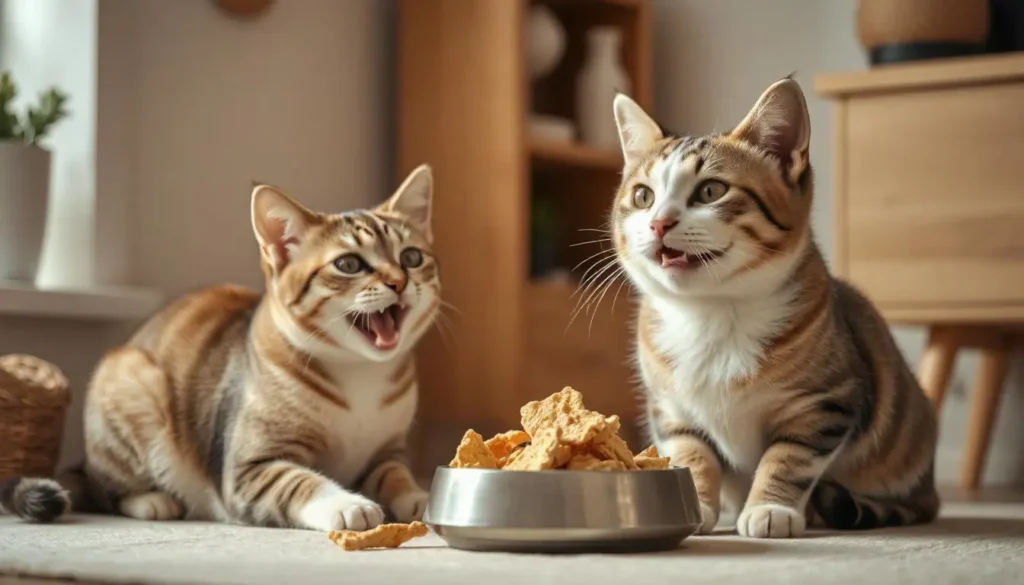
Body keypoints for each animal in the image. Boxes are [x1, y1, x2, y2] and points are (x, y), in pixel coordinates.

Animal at [1, 163, 440, 532]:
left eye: (411, 257)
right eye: (349, 264)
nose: (399, 281)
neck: (360, 373)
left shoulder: (388, 451)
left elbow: (396, 475)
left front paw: (421, 497)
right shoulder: (248, 467)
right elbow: (298, 482)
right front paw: (347, 504)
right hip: (129, 383)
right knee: (104, 490)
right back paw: (152, 501)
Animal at [610, 77, 937, 540]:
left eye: (710, 191)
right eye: (642, 196)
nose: (658, 223)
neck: (712, 313)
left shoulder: (824, 403)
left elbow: (789, 458)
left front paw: (770, 508)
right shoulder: (672, 410)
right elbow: (693, 455)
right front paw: (698, 505)